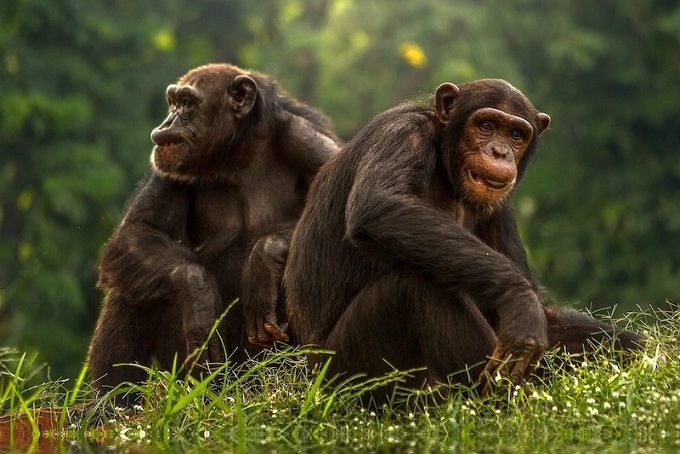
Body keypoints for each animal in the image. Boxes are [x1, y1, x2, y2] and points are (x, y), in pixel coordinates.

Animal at [86, 63, 340, 394]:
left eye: (188, 104)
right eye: (173, 102)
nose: (167, 122)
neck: (239, 153)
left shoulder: (307, 140)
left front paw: (264, 260)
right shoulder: (167, 163)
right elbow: (139, 230)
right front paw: (198, 294)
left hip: (266, 371)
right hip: (189, 373)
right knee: (132, 284)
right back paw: (112, 399)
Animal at [282, 79, 644, 400]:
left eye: (516, 134)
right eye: (485, 125)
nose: (499, 152)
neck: (446, 165)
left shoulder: (501, 209)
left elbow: (544, 318)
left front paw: (638, 349)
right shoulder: (404, 133)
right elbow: (381, 206)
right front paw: (520, 301)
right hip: (350, 378)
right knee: (416, 286)